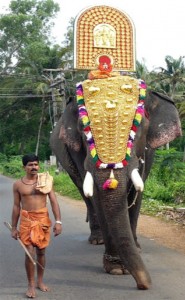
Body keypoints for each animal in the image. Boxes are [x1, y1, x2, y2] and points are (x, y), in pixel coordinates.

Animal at [49, 75, 181, 290]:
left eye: (140, 126)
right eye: (83, 129)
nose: (144, 285)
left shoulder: (148, 151)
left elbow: (137, 192)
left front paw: (135, 249)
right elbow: (98, 197)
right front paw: (118, 269)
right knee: (85, 195)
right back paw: (97, 240)